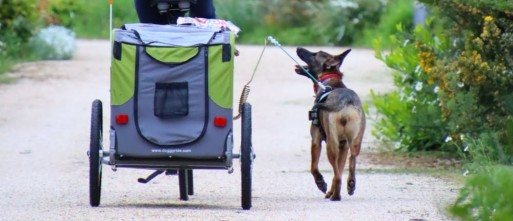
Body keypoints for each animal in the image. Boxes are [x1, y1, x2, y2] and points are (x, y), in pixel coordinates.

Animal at [294, 47, 366, 201]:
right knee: (350, 163)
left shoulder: (316, 140)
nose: (298, 48)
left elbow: (314, 167)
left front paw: (321, 183)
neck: (329, 78)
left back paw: (336, 196)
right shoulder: (343, 145)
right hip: (353, 143)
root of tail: (345, 102)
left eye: (314, 54)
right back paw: (349, 185)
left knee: (337, 175)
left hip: (331, 145)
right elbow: (338, 169)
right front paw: (330, 190)